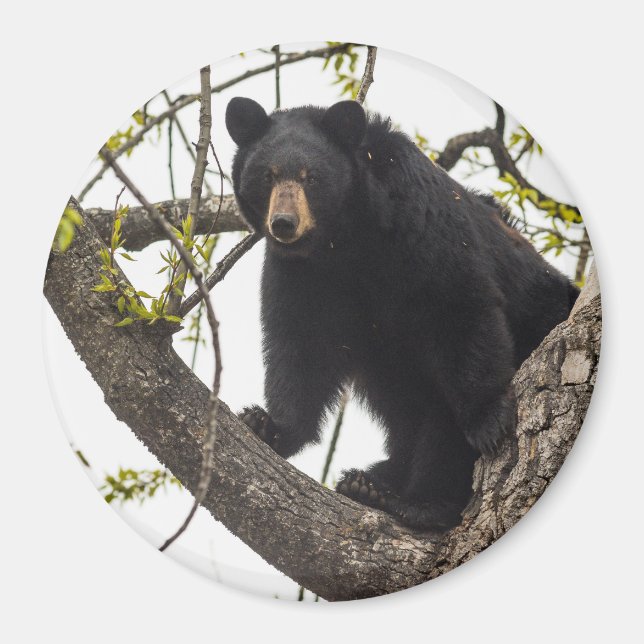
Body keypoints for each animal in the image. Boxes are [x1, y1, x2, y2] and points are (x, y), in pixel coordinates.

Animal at [225, 96, 579, 532]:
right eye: (267, 175)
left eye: (312, 177)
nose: (284, 224)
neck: (345, 242)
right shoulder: (301, 275)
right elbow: (300, 346)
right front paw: (268, 424)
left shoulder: (421, 226)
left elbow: (459, 308)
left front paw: (488, 421)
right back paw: (370, 482)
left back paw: (418, 502)